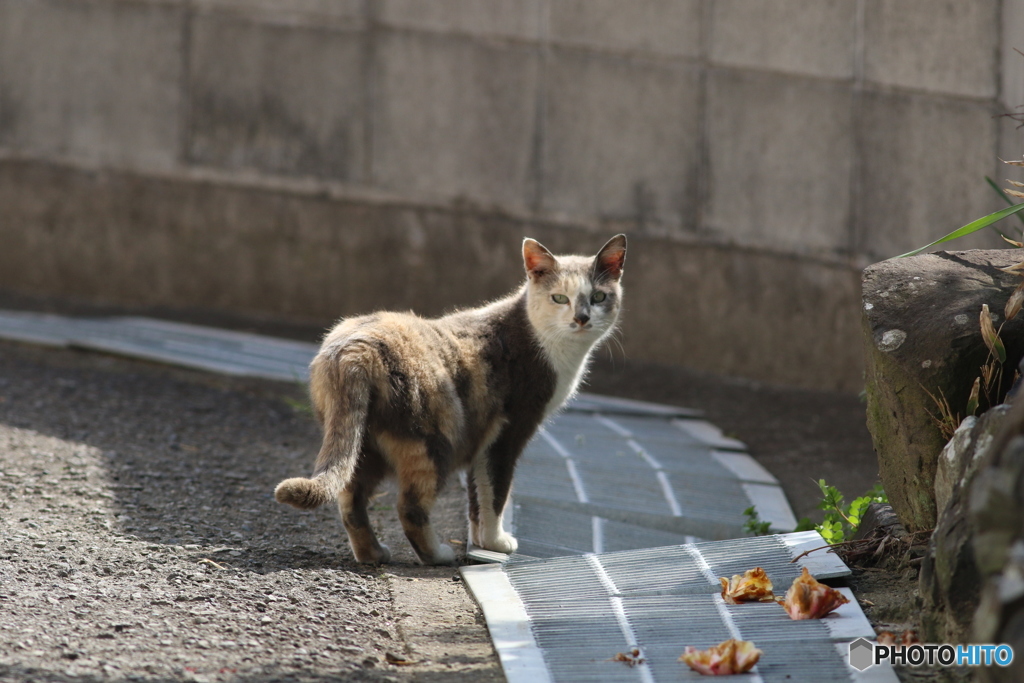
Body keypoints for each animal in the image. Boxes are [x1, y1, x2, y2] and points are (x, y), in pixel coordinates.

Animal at [272, 232, 622, 565]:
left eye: (599, 297)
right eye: (559, 298)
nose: (581, 318)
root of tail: (356, 348)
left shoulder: (483, 439)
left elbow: (477, 497)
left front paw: (480, 541)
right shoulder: (509, 432)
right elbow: (497, 491)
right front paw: (497, 542)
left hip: (363, 444)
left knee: (350, 500)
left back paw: (373, 554)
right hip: (436, 439)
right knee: (409, 507)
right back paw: (438, 555)